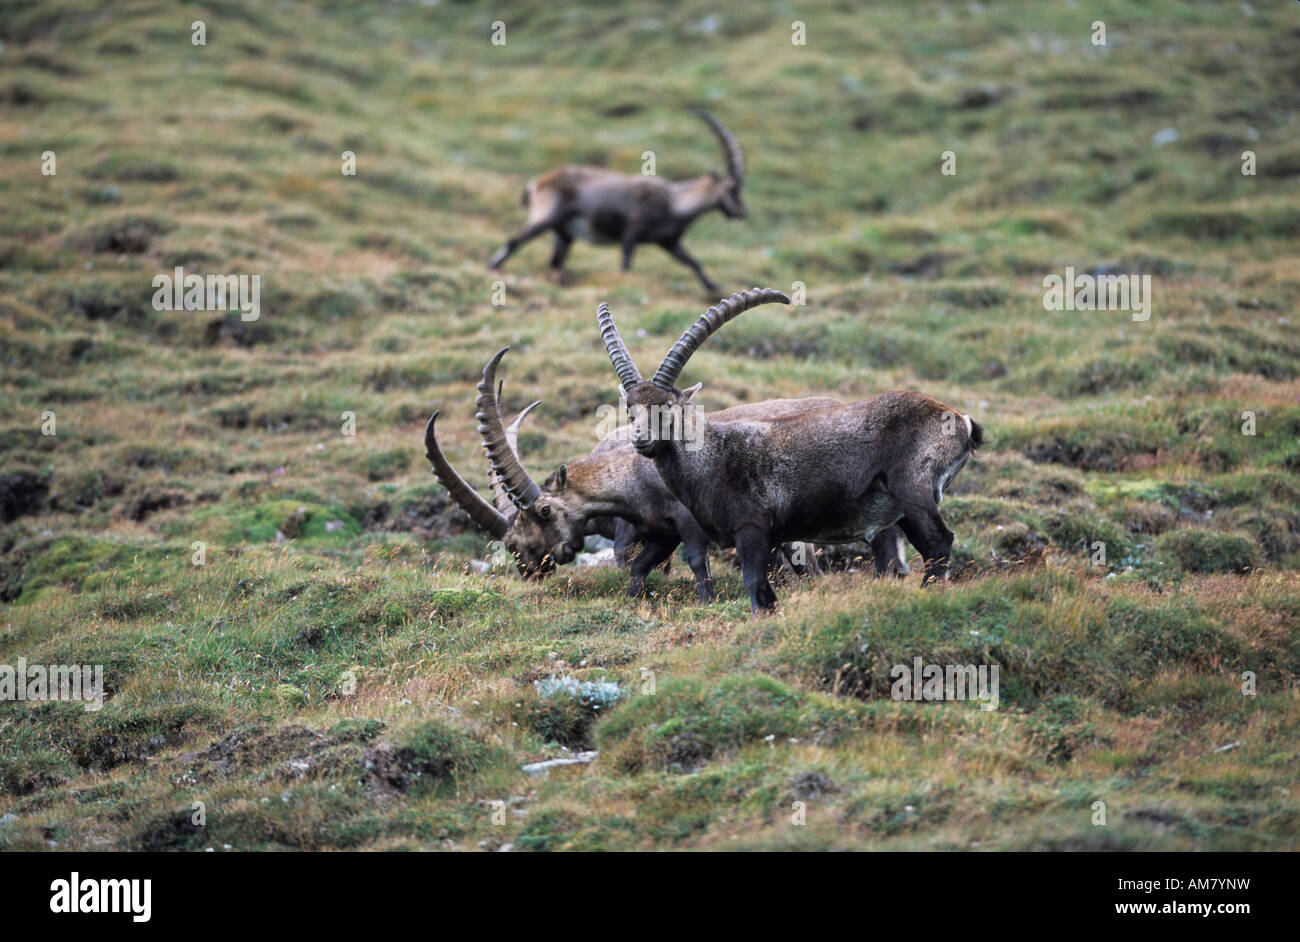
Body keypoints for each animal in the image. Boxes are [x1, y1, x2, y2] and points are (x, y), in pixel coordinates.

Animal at [487, 110, 746, 293]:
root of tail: (537, 184)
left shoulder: (669, 242)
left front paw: (713, 287)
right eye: (732, 189)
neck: (674, 202)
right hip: (546, 217)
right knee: (514, 241)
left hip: (563, 233)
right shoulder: (632, 230)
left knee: (555, 262)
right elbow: (626, 263)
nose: (743, 212)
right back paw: (493, 268)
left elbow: (694, 262)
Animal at [596, 289, 984, 612]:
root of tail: (960, 420)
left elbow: (754, 586)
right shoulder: (771, 540)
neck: (712, 458)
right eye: (630, 409)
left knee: (939, 541)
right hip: (901, 506)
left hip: (913, 485)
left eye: (667, 406)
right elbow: (766, 591)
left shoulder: (752, 529)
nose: (641, 440)